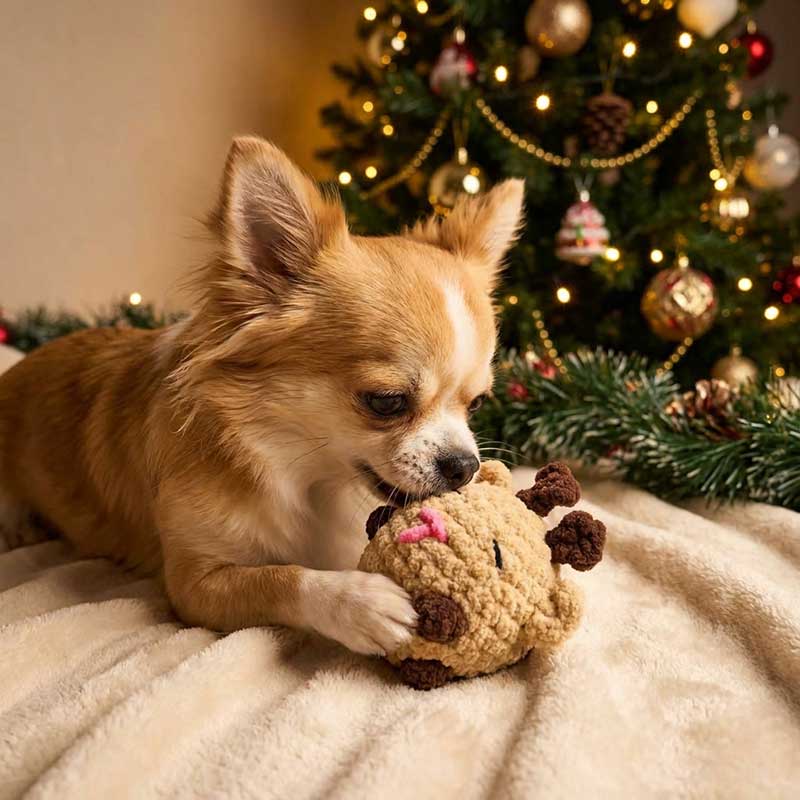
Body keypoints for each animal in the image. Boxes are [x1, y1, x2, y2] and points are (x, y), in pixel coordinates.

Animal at [0, 137, 524, 656]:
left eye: (477, 403)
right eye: (386, 401)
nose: (464, 466)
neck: (301, 471)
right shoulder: (193, 586)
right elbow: (279, 577)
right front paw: (359, 600)